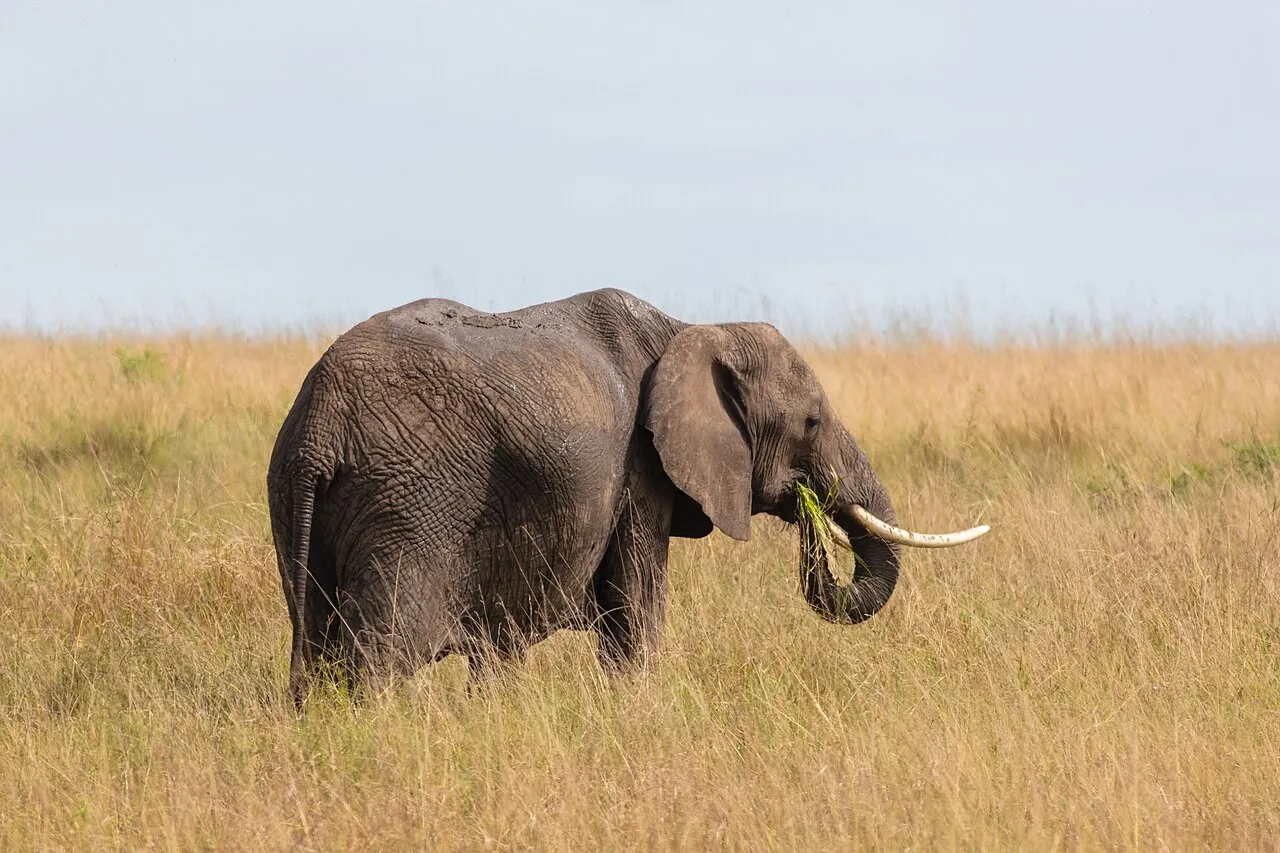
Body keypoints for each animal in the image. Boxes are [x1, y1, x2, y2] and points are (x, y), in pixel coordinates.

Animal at [268, 288, 987, 701]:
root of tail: (320, 425)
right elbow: (637, 608)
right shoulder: (640, 473)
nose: (811, 510)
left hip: (297, 503)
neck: (694, 328)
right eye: (811, 422)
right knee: (379, 656)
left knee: (318, 646)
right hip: (410, 503)